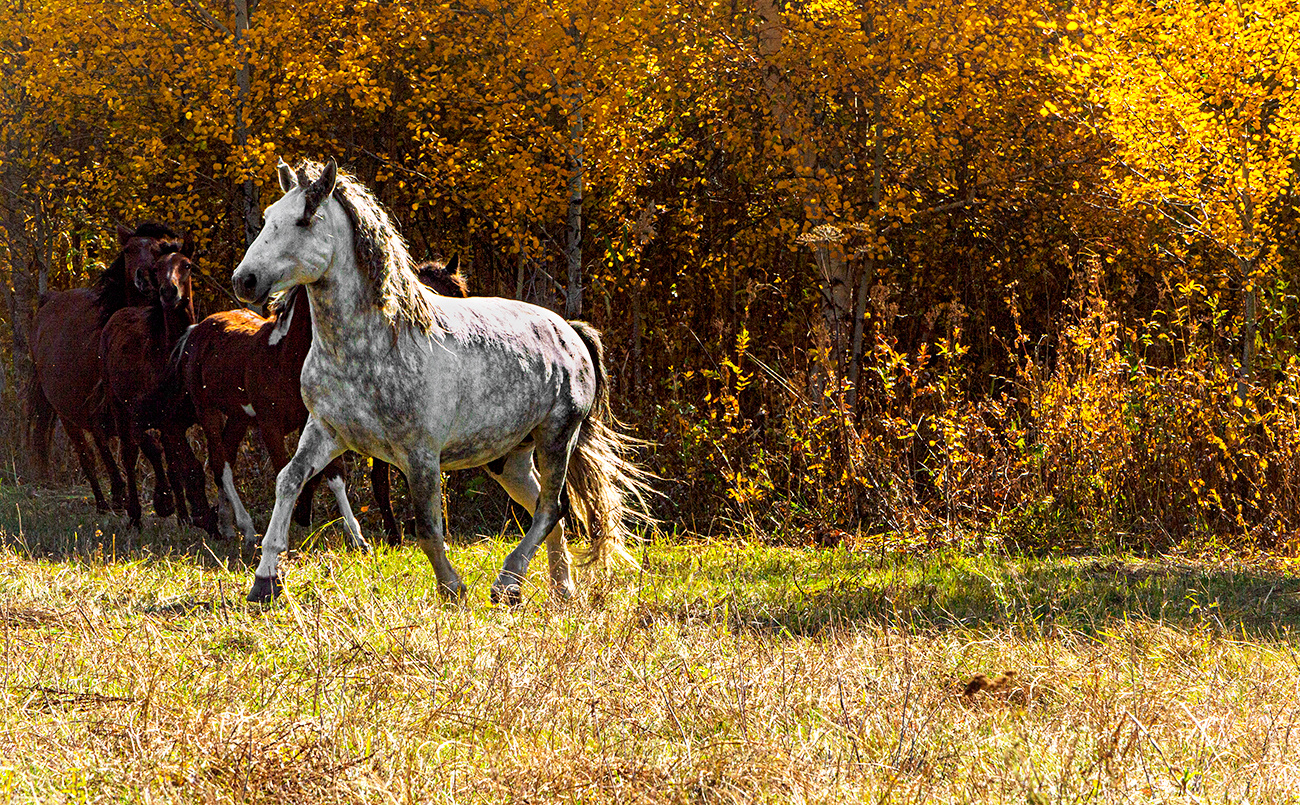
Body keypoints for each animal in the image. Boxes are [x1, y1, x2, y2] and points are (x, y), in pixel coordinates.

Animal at [28, 222, 187, 515]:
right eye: (128, 250)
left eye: (159, 250)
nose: (143, 279)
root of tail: (48, 300)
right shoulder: (117, 410)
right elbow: (148, 447)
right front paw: (162, 499)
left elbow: (165, 455)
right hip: (68, 415)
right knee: (88, 456)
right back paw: (106, 502)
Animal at [100, 241, 216, 535]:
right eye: (157, 268)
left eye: (187, 264)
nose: (168, 292)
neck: (172, 358)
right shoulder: (165, 421)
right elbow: (186, 466)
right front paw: (197, 513)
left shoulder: (194, 419)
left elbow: (188, 466)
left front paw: (196, 513)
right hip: (120, 408)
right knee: (130, 455)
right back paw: (136, 514)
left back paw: (182, 515)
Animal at [171, 257, 468, 548]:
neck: (283, 357)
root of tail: (195, 331)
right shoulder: (270, 426)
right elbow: (285, 472)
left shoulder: (319, 424)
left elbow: (333, 474)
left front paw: (356, 537)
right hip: (207, 410)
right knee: (220, 465)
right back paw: (246, 528)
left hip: (238, 418)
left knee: (226, 459)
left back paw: (227, 526)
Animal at [231, 158, 649, 604]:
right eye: (268, 217)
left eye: (304, 220)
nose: (245, 281)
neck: (377, 343)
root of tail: (570, 332)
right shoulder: (327, 430)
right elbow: (288, 482)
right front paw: (264, 581)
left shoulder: (420, 455)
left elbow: (429, 529)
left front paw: (452, 588)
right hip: (510, 457)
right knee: (545, 508)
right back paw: (560, 588)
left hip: (557, 436)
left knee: (552, 508)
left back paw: (508, 583)